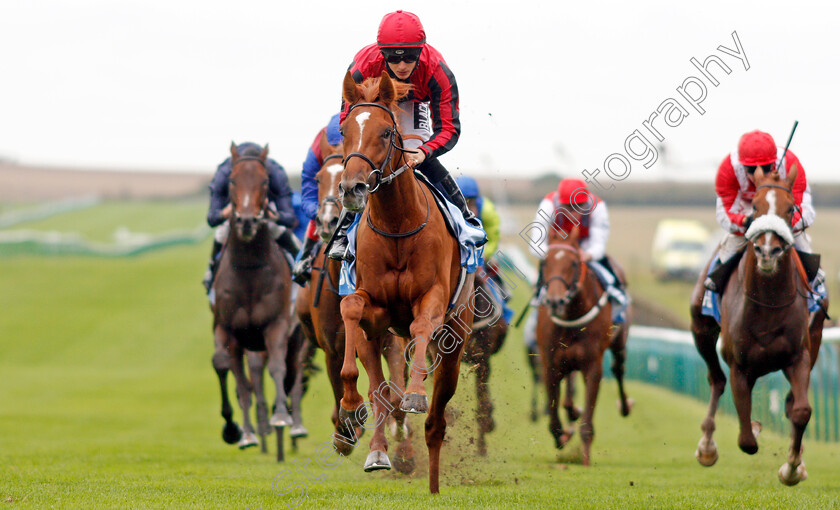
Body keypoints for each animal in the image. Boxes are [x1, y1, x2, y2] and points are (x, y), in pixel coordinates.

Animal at [212, 144, 304, 458]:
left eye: (265, 182)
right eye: (231, 181)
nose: (247, 221)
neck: (249, 269)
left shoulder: (276, 324)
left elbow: (278, 368)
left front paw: (281, 417)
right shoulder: (228, 329)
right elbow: (229, 372)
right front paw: (238, 431)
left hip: (297, 336)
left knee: (295, 374)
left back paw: (293, 425)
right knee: (248, 378)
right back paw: (256, 431)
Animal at [294, 141, 416, 472]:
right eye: (319, 178)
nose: (326, 222)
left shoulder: (390, 339)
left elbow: (394, 390)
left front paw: (400, 437)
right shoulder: (333, 348)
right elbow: (343, 386)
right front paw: (346, 432)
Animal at [338, 71, 476, 494]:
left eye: (386, 133)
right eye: (344, 131)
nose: (351, 188)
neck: (397, 224)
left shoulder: (432, 296)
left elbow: (420, 325)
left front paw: (415, 393)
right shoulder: (375, 308)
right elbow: (351, 307)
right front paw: (348, 407)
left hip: (455, 343)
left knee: (436, 421)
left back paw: (432, 481)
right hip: (376, 336)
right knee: (379, 391)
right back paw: (377, 451)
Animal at [540, 225, 632, 464]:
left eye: (573, 263)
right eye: (544, 262)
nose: (555, 301)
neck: (572, 317)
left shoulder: (593, 365)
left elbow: (587, 421)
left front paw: (585, 458)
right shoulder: (550, 364)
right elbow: (553, 419)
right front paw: (562, 435)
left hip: (619, 341)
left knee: (618, 369)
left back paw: (625, 405)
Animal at [688, 167, 828, 486]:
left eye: (790, 208)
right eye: (754, 207)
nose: (767, 251)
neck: (768, 305)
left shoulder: (798, 357)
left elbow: (801, 411)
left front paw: (792, 468)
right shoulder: (740, 367)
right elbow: (746, 440)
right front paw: (752, 426)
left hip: (815, 338)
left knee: (790, 403)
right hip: (701, 328)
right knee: (716, 380)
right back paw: (707, 447)